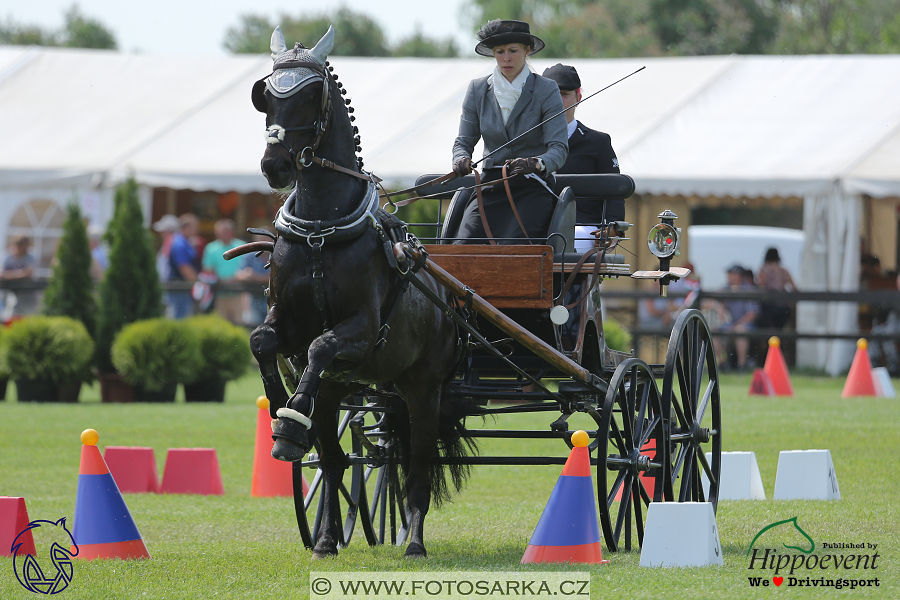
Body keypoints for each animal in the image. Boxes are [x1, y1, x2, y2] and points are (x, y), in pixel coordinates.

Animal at [246, 23, 472, 556]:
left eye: (311, 96)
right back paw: (327, 536)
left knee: (417, 464)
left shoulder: (364, 329)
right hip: (347, 391)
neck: (320, 232)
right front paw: (284, 412)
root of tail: (450, 306)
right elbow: (263, 341)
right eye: (266, 96)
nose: (275, 165)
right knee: (335, 462)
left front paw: (291, 415)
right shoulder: (285, 320)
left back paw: (414, 541)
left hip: (423, 388)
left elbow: (322, 344)